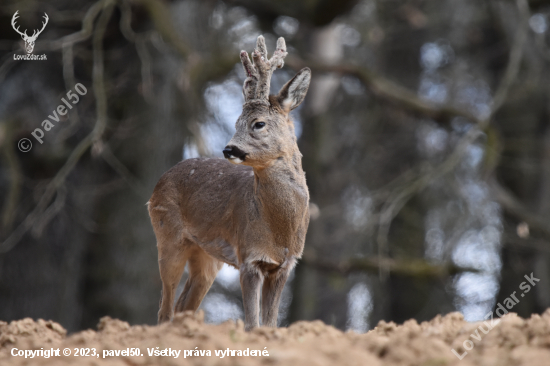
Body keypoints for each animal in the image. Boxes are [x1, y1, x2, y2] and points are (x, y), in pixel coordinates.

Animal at [148, 35, 310, 332]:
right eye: (236, 122)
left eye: (258, 123)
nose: (228, 149)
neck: (280, 227)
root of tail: (158, 183)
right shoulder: (248, 257)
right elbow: (252, 323)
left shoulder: (285, 265)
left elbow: (270, 323)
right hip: (168, 237)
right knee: (165, 309)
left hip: (207, 256)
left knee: (184, 305)